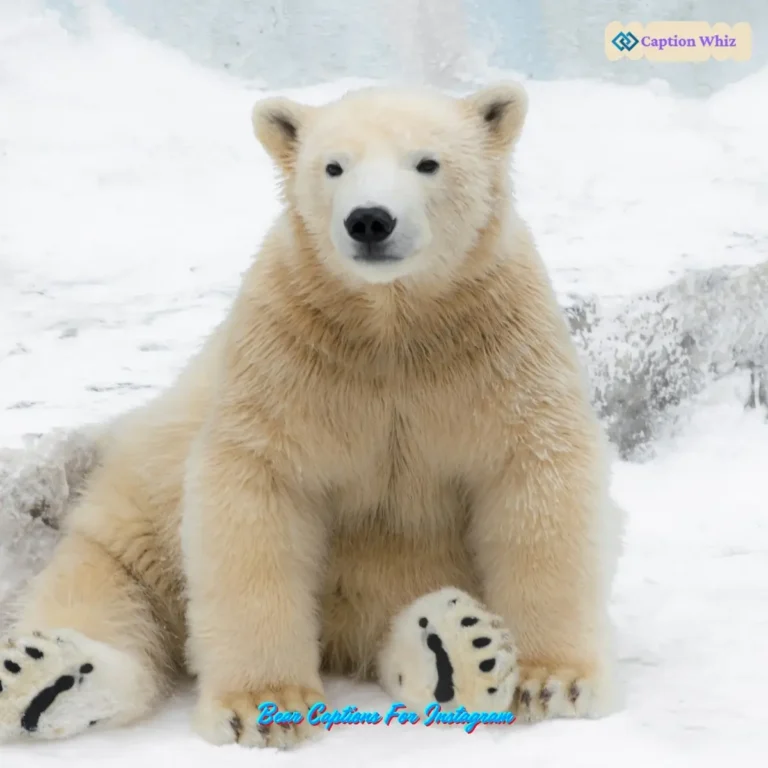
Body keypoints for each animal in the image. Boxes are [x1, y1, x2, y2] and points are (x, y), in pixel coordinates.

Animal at [0, 81, 621, 748]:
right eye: (334, 166)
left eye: (427, 162)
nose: (369, 219)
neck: (392, 323)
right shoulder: (291, 352)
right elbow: (257, 492)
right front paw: (264, 706)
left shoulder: (496, 343)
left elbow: (536, 477)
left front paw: (553, 681)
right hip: (133, 519)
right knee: (107, 592)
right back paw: (44, 676)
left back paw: (455, 650)